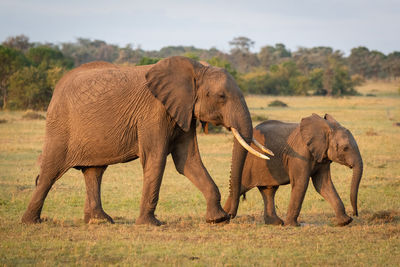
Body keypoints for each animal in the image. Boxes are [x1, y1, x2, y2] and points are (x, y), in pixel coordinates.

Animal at [21, 56, 272, 226]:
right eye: (221, 97)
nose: (230, 213)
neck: (195, 68)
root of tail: (57, 87)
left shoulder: (182, 111)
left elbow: (187, 161)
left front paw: (216, 220)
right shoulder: (154, 112)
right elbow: (156, 158)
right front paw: (151, 224)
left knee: (94, 171)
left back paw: (101, 220)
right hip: (60, 126)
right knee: (50, 172)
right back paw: (31, 221)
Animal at [223, 114, 364, 227]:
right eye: (345, 148)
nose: (355, 213)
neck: (326, 128)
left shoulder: (322, 155)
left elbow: (323, 184)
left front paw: (344, 222)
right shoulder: (300, 154)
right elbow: (301, 183)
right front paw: (292, 225)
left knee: (269, 190)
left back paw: (275, 223)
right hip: (250, 163)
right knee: (241, 187)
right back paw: (225, 219)